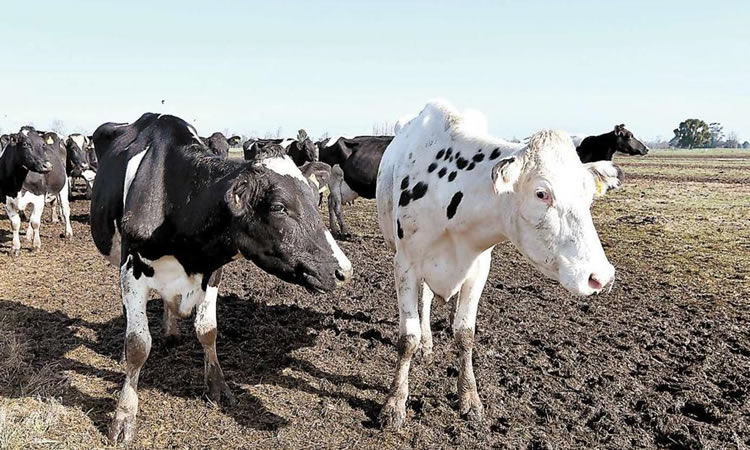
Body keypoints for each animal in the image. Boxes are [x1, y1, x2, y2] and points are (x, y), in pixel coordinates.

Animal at [89, 112, 354, 442]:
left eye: (314, 198)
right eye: (279, 207)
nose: (344, 271)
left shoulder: (212, 269)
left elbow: (208, 331)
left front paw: (217, 387)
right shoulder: (132, 268)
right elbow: (137, 345)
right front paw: (124, 415)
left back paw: (171, 330)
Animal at [376, 100, 624, 430]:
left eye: (588, 194)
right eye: (541, 193)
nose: (600, 277)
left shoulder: (479, 269)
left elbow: (464, 334)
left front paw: (470, 398)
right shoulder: (404, 264)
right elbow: (408, 338)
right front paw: (394, 403)